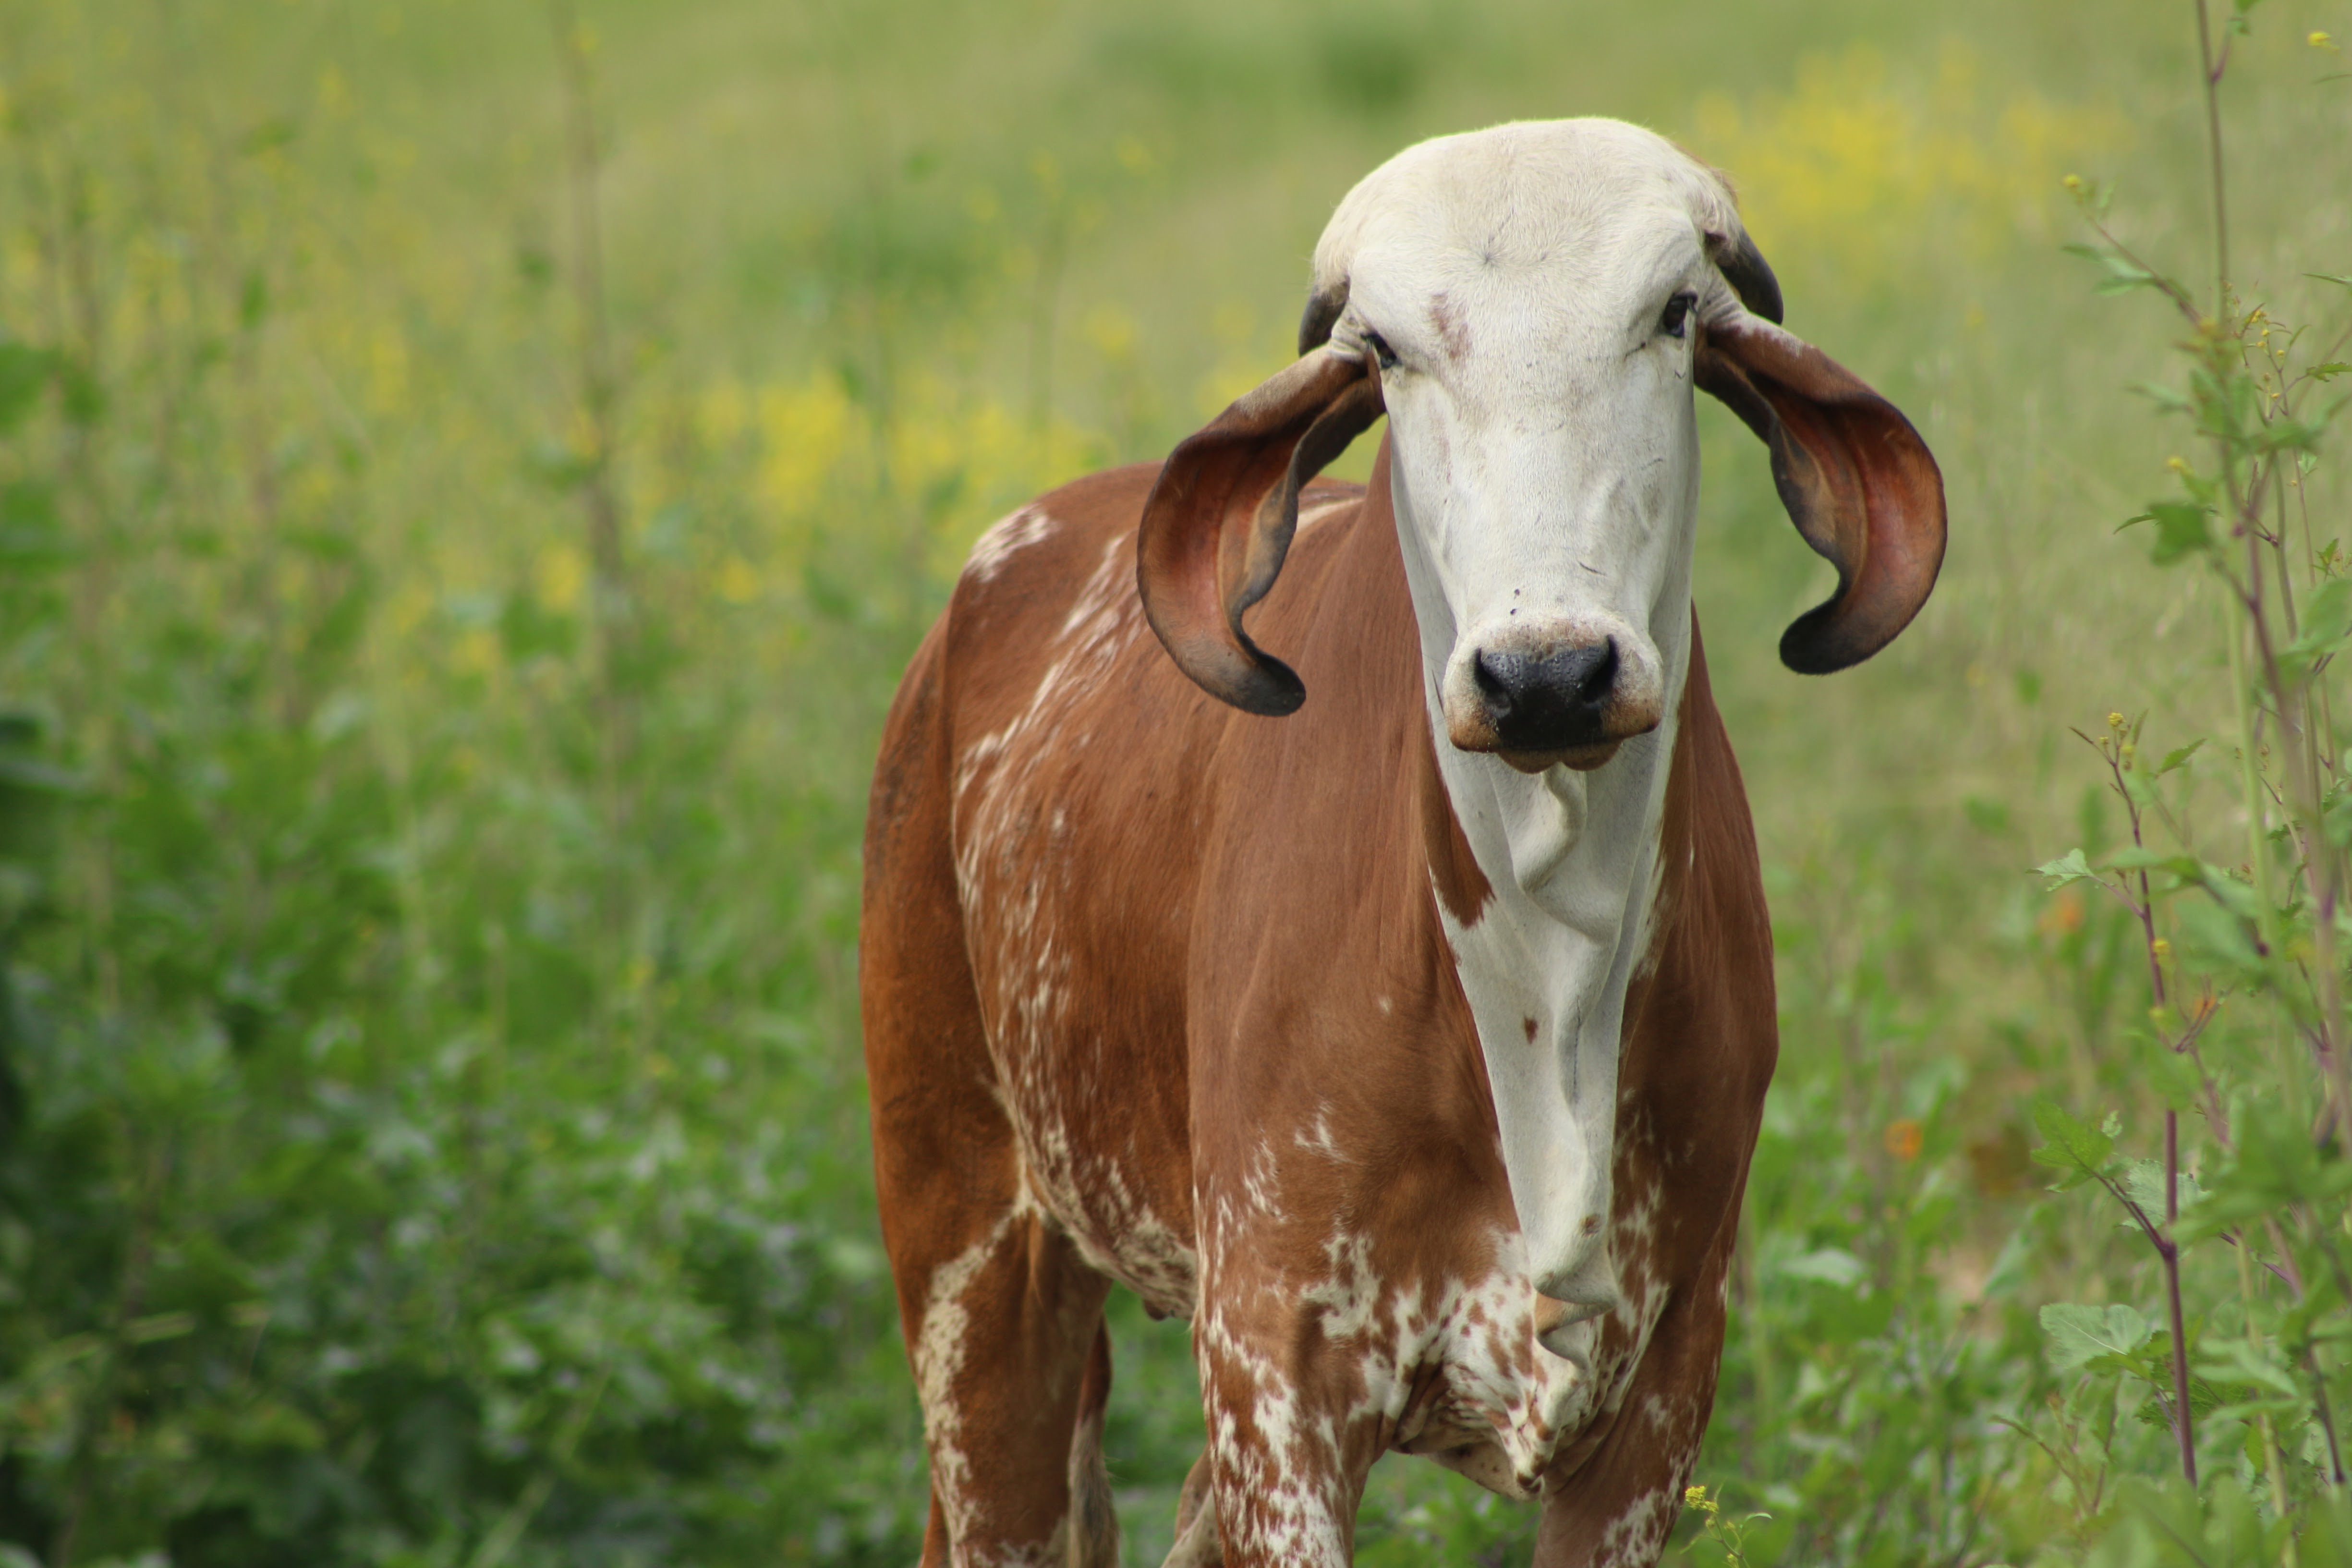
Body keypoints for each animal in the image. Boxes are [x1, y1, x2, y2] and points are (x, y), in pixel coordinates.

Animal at [859, 118, 1945, 1568]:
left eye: (1673, 313)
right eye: (1380, 349)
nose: (1546, 675)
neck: (1546, 974)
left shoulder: (1658, 1394)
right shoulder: (1274, 1376)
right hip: (972, 1269)